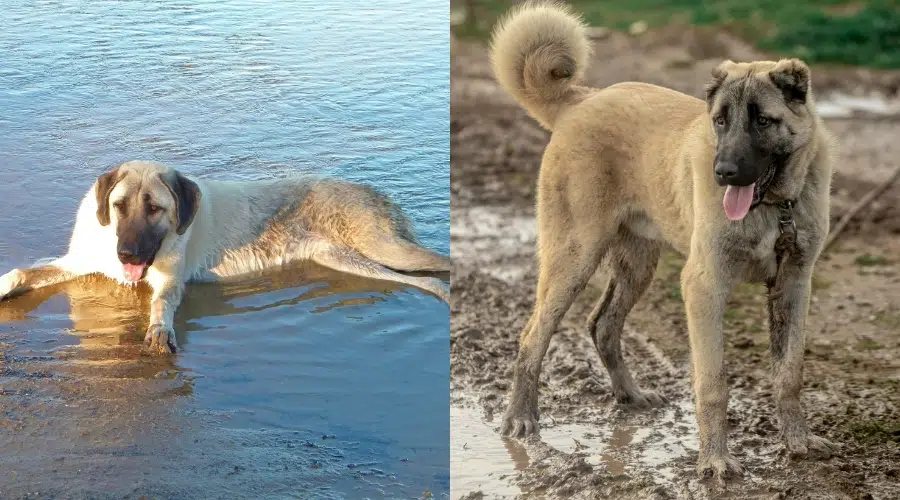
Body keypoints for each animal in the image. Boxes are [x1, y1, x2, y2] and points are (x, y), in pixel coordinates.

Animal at [0, 159, 450, 352]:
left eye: (154, 208)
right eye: (119, 205)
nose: (126, 251)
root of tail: (374, 192)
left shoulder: (169, 281)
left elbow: (161, 304)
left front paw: (159, 330)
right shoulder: (78, 262)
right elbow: (23, 272)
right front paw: (6, 283)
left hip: (385, 248)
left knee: (436, 267)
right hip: (344, 259)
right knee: (423, 279)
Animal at [492, 1, 836, 482]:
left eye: (763, 121)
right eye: (720, 121)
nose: (723, 172)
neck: (777, 205)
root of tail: (581, 99)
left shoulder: (793, 286)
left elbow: (789, 373)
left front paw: (798, 440)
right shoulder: (704, 288)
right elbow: (713, 383)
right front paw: (715, 459)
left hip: (637, 265)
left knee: (602, 325)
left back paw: (630, 395)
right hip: (574, 258)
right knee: (532, 335)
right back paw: (521, 417)